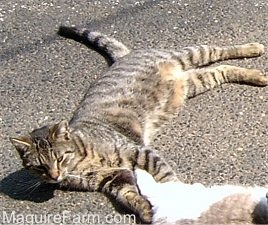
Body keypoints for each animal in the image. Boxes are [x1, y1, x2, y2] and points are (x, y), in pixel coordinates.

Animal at [10, 25, 268, 223]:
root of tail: (123, 56)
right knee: (221, 70)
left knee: (215, 50)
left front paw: (176, 197)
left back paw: (253, 49)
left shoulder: (138, 151)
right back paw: (255, 75)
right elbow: (130, 197)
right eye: (39, 167)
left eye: (60, 158)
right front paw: (145, 210)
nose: (54, 176)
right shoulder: (114, 180)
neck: (81, 162)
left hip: (188, 55)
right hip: (193, 82)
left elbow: (166, 178)